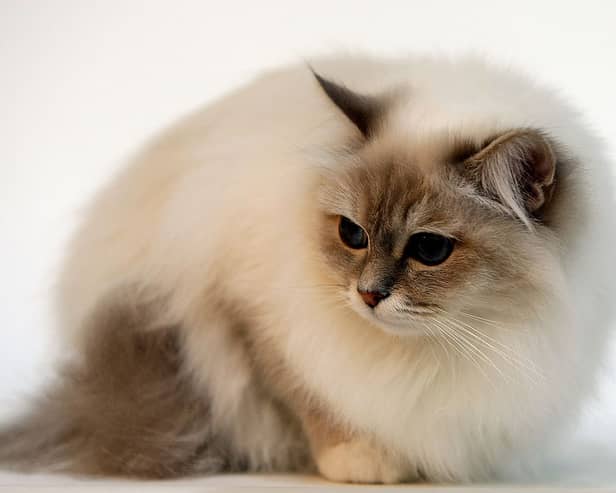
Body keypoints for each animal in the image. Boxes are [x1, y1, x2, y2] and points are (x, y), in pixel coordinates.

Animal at [1, 55, 616, 482]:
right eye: (353, 235)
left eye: (430, 250)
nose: (368, 295)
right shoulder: (254, 321)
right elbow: (311, 402)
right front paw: (363, 460)